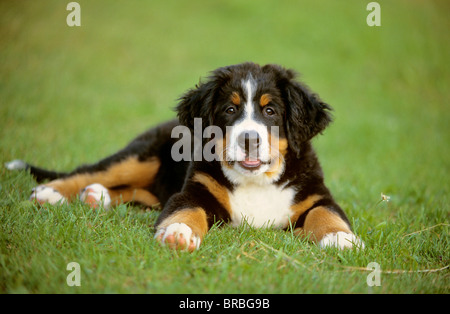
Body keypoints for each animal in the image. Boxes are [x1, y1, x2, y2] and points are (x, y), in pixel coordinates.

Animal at [6, 62, 366, 251]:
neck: (256, 182)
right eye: (230, 110)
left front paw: (341, 237)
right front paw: (179, 232)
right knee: (91, 171)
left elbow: (326, 213)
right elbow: (185, 208)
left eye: (271, 111)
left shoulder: (315, 194)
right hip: (141, 155)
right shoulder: (194, 190)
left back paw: (97, 196)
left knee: (143, 193)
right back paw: (51, 193)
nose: (249, 139)